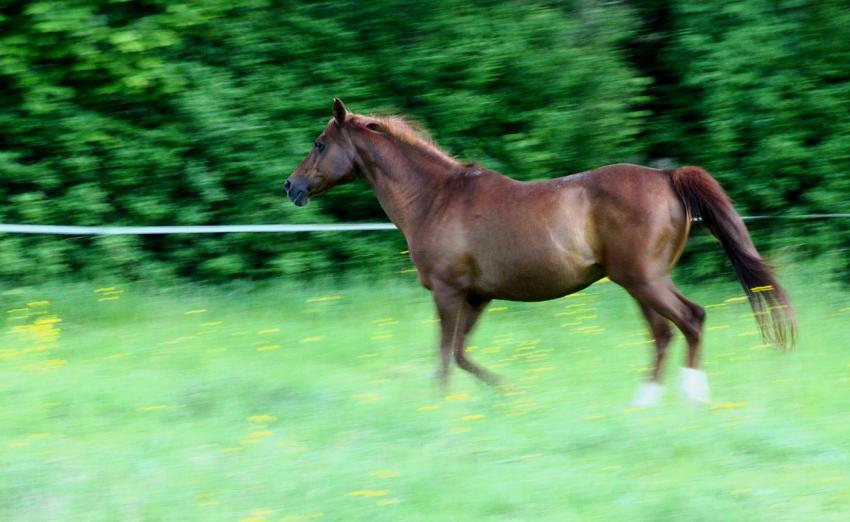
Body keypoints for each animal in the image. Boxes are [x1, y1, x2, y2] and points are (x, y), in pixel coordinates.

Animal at [284, 99, 796, 406]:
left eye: (319, 143)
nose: (291, 187)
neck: (435, 199)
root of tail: (668, 177)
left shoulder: (448, 291)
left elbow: (446, 357)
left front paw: (445, 404)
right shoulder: (477, 296)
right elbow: (462, 354)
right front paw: (512, 392)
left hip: (643, 280)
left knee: (690, 320)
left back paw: (693, 399)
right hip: (641, 283)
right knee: (664, 333)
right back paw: (643, 404)